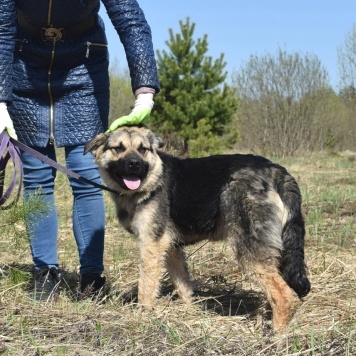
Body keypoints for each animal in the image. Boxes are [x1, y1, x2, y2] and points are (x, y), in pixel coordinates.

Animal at [85, 126, 310, 332]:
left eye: (143, 149)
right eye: (118, 148)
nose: (134, 164)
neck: (153, 179)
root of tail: (277, 171)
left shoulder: (151, 246)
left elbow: (146, 286)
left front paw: (143, 316)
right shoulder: (172, 248)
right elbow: (183, 284)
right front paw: (189, 311)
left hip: (250, 251)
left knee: (284, 294)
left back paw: (276, 335)